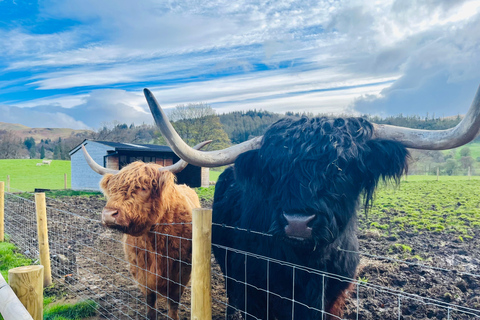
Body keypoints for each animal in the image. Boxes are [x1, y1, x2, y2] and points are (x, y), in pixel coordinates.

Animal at [142, 87, 480, 320]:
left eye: (341, 166)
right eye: (275, 170)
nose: (297, 223)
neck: (305, 267)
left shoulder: (333, 298)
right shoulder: (256, 293)